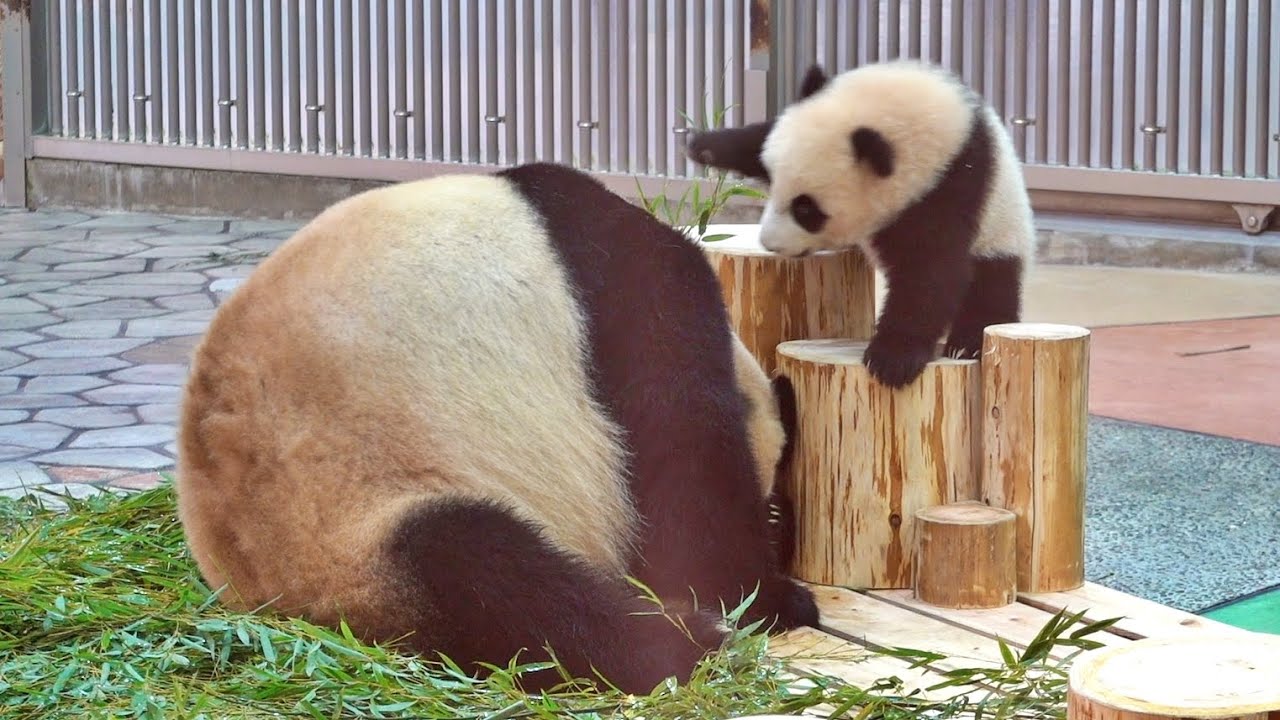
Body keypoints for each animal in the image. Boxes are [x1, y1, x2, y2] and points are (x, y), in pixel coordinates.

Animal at [175, 161, 818, 696]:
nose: (778, 510)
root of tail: (285, 608)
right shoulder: (627, 292)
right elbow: (684, 461)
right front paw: (772, 597)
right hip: (361, 525)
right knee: (498, 582)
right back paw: (689, 642)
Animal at [686, 60, 1036, 389]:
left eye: (807, 210)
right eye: (771, 180)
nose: (769, 243)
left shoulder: (951, 187)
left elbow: (930, 270)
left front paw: (892, 359)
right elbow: (760, 136)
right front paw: (703, 145)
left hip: (1001, 229)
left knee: (992, 285)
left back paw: (966, 344)